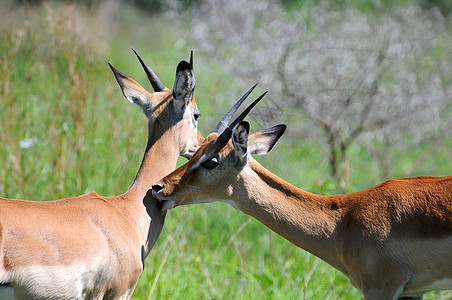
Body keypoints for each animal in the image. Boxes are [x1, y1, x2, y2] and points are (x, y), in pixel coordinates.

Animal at [154, 98, 452, 298]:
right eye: (192, 153)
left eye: (210, 161)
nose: (158, 187)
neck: (343, 220)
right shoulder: (411, 291)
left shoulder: (381, 288)